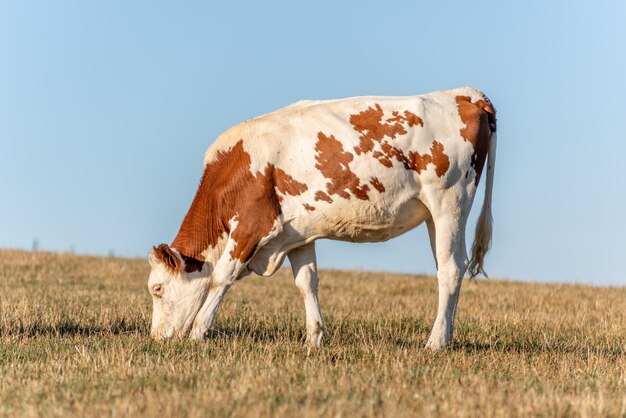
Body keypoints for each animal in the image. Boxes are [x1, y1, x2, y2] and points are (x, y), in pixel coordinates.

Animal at [149, 86, 494, 352]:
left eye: (157, 289)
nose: (156, 337)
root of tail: (464, 94)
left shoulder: (252, 225)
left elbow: (221, 277)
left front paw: (197, 333)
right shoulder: (295, 234)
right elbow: (307, 282)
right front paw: (314, 339)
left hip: (450, 201)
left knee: (451, 268)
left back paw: (436, 342)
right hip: (433, 215)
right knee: (446, 266)